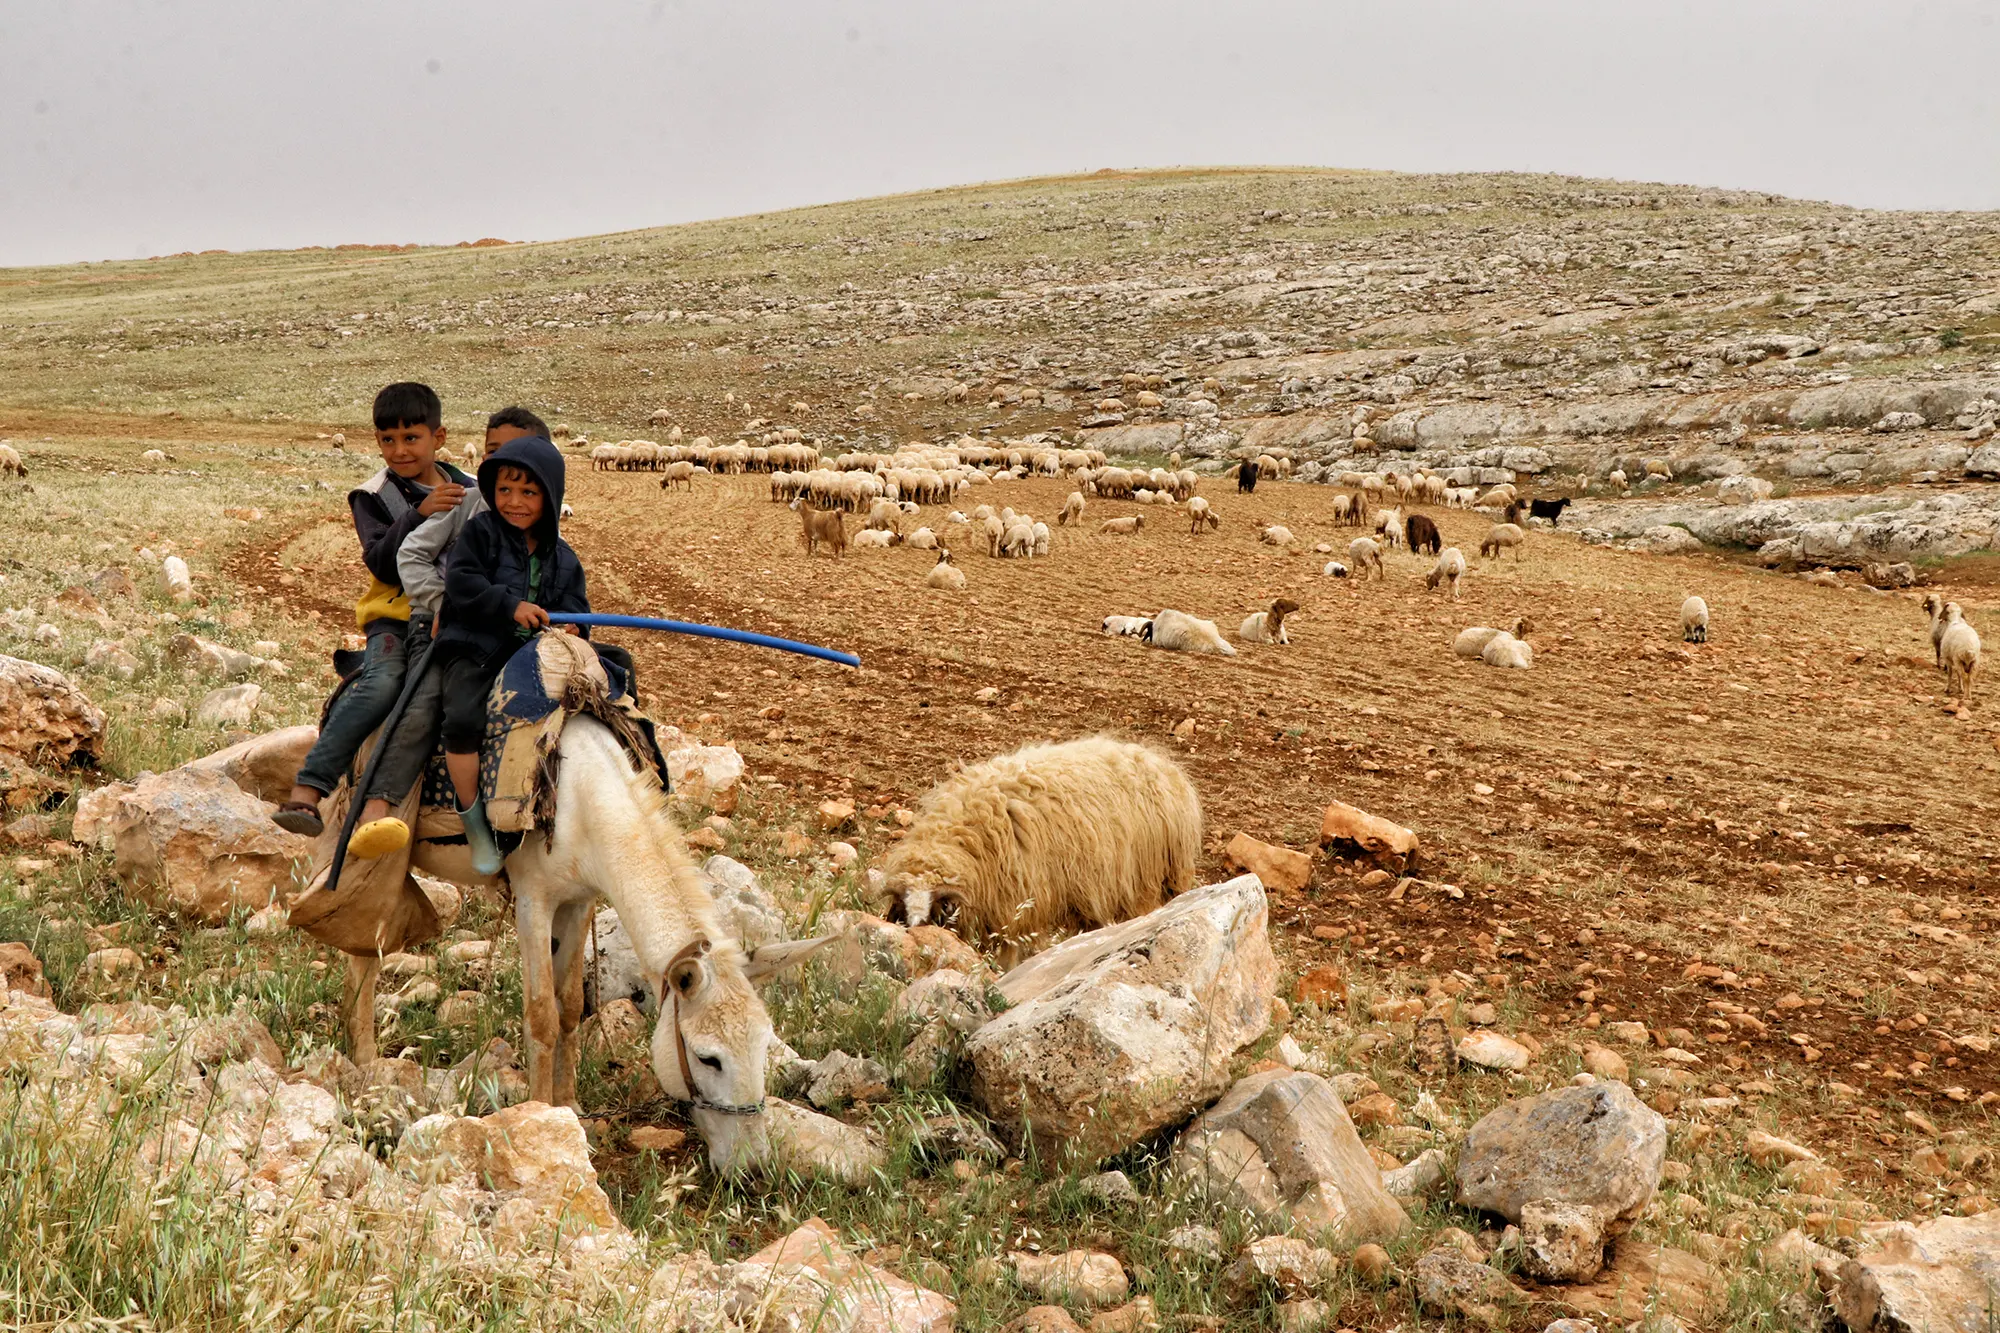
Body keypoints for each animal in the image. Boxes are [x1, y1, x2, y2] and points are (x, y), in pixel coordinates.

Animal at [880, 732, 1200, 960]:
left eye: (934, 911)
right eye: (902, 910)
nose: (916, 939)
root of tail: (1163, 765)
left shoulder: (1016, 907)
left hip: (1149, 880)